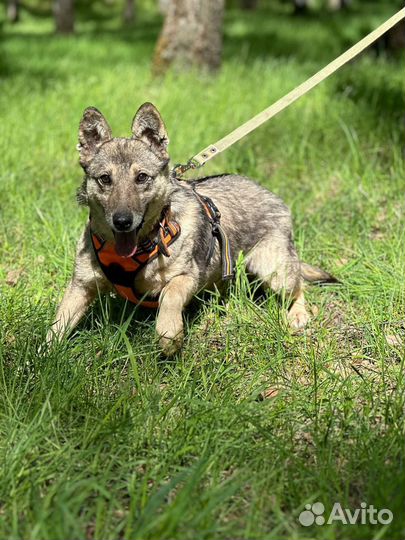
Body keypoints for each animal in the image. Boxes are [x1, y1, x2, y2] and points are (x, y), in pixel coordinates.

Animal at [48, 102, 334, 354]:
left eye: (142, 177)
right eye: (105, 179)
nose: (122, 221)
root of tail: (273, 196)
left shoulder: (187, 277)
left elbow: (169, 296)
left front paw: (169, 334)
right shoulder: (80, 287)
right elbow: (56, 326)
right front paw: (43, 359)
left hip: (272, 270)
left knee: (299, 287)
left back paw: (297, 314)